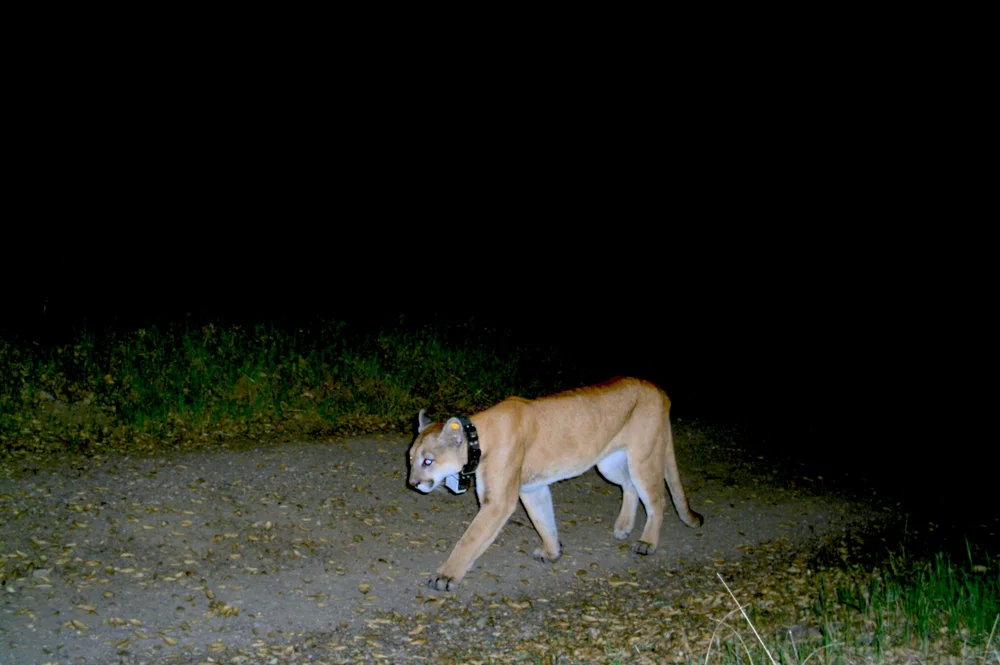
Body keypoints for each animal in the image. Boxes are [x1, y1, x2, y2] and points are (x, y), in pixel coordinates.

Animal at [408, 377, 703, 591]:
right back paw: (623, 526)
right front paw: (552, 552)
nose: (412, 483)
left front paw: (446, 576)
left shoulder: (498, 502)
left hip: (644, 457)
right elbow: (543, 519)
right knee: (629, 486)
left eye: (428, 461)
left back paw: (646, 542)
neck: (477, 438)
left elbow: (469, 540)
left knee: (657, 499)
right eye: (410, 458)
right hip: (608, 463)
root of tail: (660, 390)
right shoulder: (532, 488)